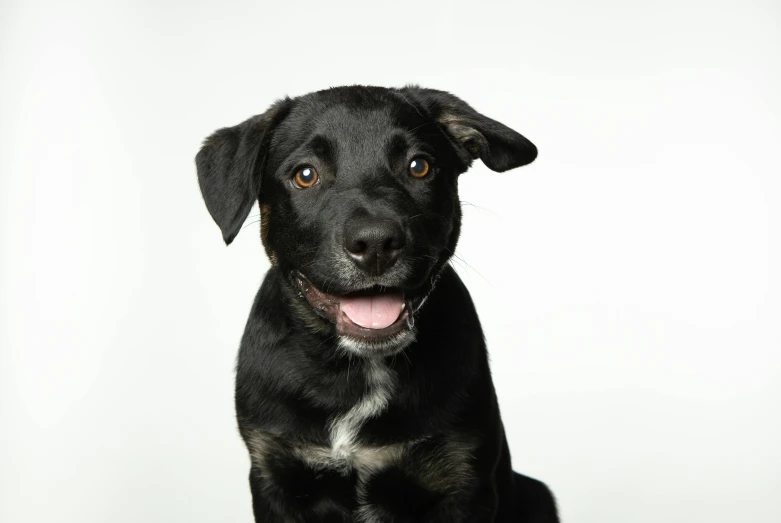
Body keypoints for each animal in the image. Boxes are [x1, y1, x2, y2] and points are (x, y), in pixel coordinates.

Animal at [195, 87, 560, 523]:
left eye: (419, 166)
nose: (375, 244)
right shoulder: (274, 475)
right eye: (305, 175)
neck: (355, 373)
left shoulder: (462, 480)